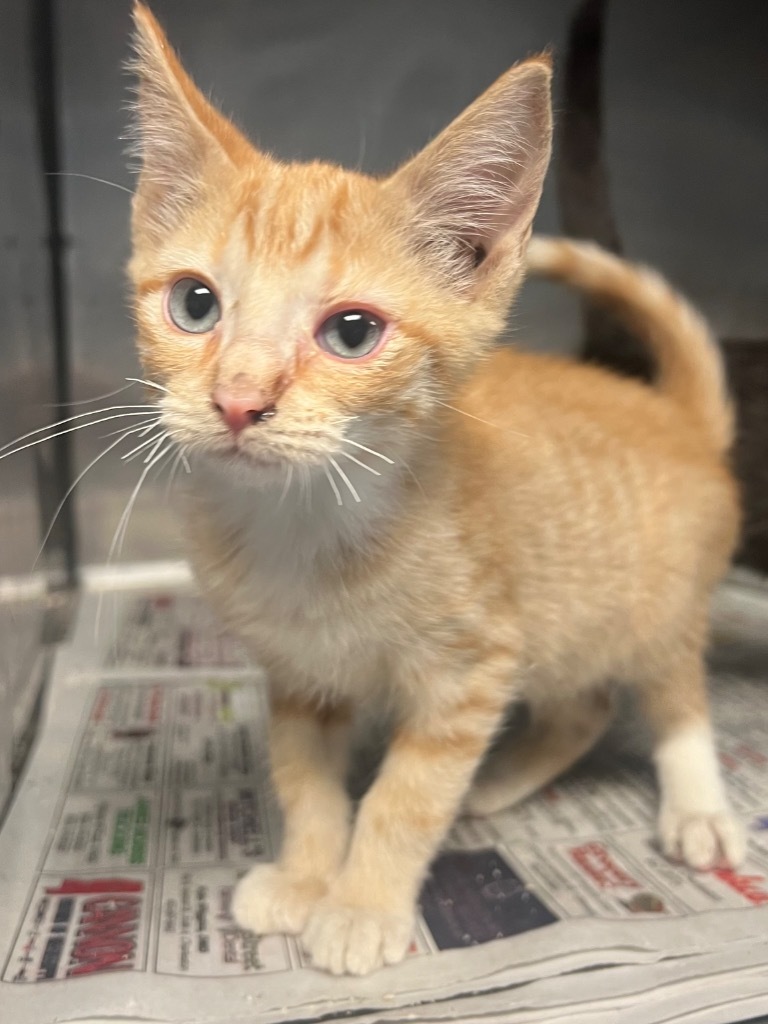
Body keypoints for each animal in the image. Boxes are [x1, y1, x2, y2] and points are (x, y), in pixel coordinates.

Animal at [131, 2, 745, 974]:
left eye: (352, 332)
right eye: (195, 304)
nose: (236, 400)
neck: (305, 525)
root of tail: (677, 416)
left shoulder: (470, 669)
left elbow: (404, 798)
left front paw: (361, 907)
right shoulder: (300, 673)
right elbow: (307, 781)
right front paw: (307, 878)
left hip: (656, 607)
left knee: (673, 691)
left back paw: (696, 805)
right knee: (588, 701)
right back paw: (499, 784)